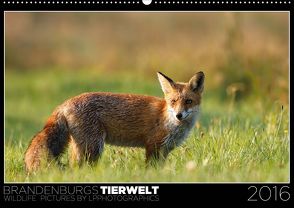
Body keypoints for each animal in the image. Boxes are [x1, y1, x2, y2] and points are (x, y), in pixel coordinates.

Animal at [24, 71, 204, 172]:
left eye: (188, 101)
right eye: (173, 101)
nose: (179, 115)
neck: (167, 118)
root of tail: (64, 103)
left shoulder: (164, 150)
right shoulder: (152, 146)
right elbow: (150, 169)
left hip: (83, 147)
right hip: (94, 147)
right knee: (80, 168)